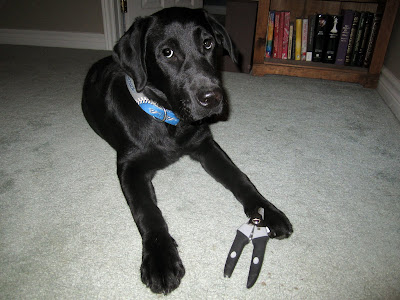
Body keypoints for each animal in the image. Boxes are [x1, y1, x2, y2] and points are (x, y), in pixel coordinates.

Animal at [82, 7, 294, 296]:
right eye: (167, 52)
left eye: (208, 43)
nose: (212, 98)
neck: (171, 121)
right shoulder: (129, 167)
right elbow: (147, 211)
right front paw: (160, 259)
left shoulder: (206, 145)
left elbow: (239, 178)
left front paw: (267, 211)